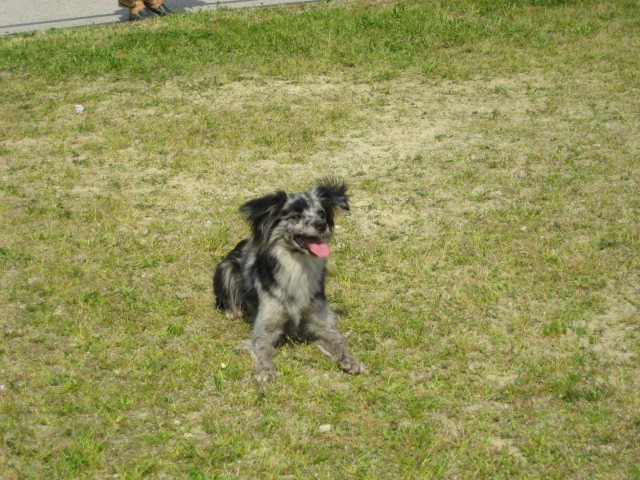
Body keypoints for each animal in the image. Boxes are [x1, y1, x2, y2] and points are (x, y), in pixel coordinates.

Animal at [215, 179, 364, 382]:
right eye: (295, 216)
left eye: (322, 213)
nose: (321, 224)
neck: (298, 266)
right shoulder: (265, 327)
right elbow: (263, 348)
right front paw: (266, 370)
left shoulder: (321, 322)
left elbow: (337, 340)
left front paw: (350, 359)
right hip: (225, 268)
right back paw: (232, 311)